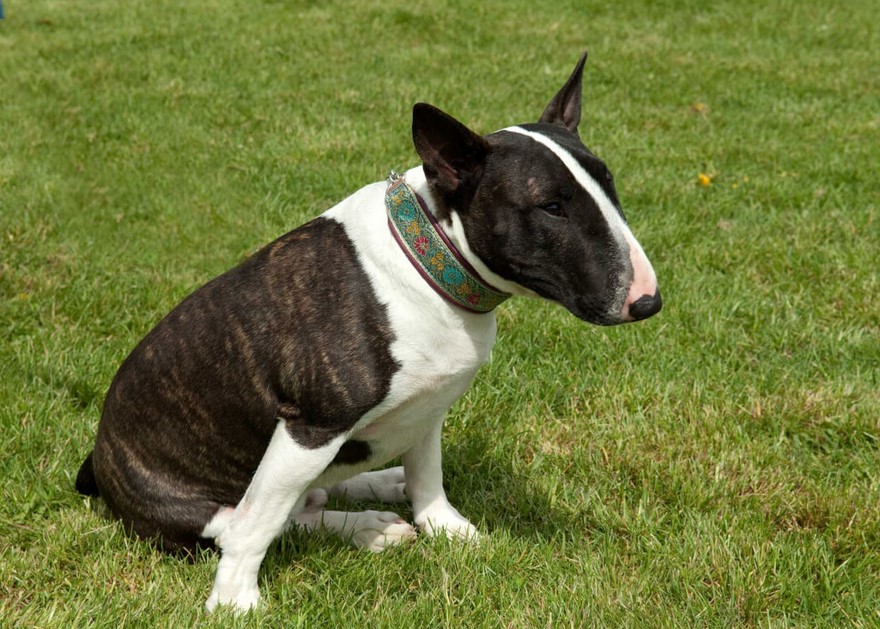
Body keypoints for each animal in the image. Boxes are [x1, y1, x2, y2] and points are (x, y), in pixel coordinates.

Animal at [75, 54, 660, 608]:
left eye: (609, 184)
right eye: (552, 207)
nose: (648, 301)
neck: (432, 264)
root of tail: (97, 467)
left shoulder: (430, 403)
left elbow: (427, 472)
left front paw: (448, 530)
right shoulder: (310, 425)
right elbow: (257, 527)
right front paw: (234, 602)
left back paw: (378, 490)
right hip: (205, 503)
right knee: (260, 520)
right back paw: (364, 528)